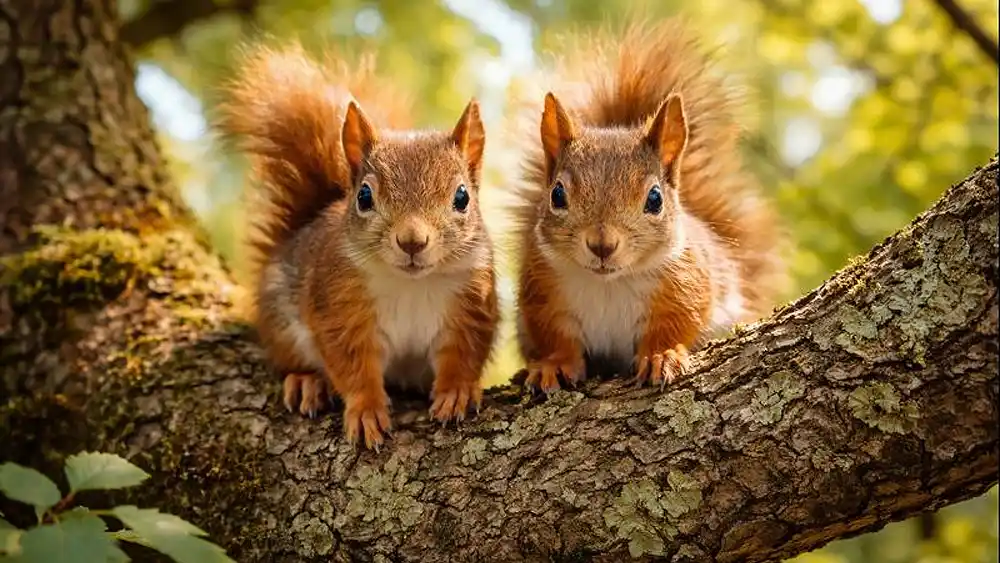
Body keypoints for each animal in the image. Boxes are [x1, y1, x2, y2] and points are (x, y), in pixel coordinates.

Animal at [214, 43, 500, 450]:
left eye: (462, 197)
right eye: (364, 197)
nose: (412, 241)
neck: (409, 284)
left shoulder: (471, 304)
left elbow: (462, 355)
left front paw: (456, 391)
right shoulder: (338, 306)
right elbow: (353, 366)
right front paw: (366, 410)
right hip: (281, 322)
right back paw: (306, 381)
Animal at [506, 18, 787, 392]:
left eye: (655, 199)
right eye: (557, 195)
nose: (602, 245)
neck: (610, 283)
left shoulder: (687, 284)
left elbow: (677, 323)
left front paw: (661, 356)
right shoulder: (542, 291)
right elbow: (554, 336)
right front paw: (552, 364)